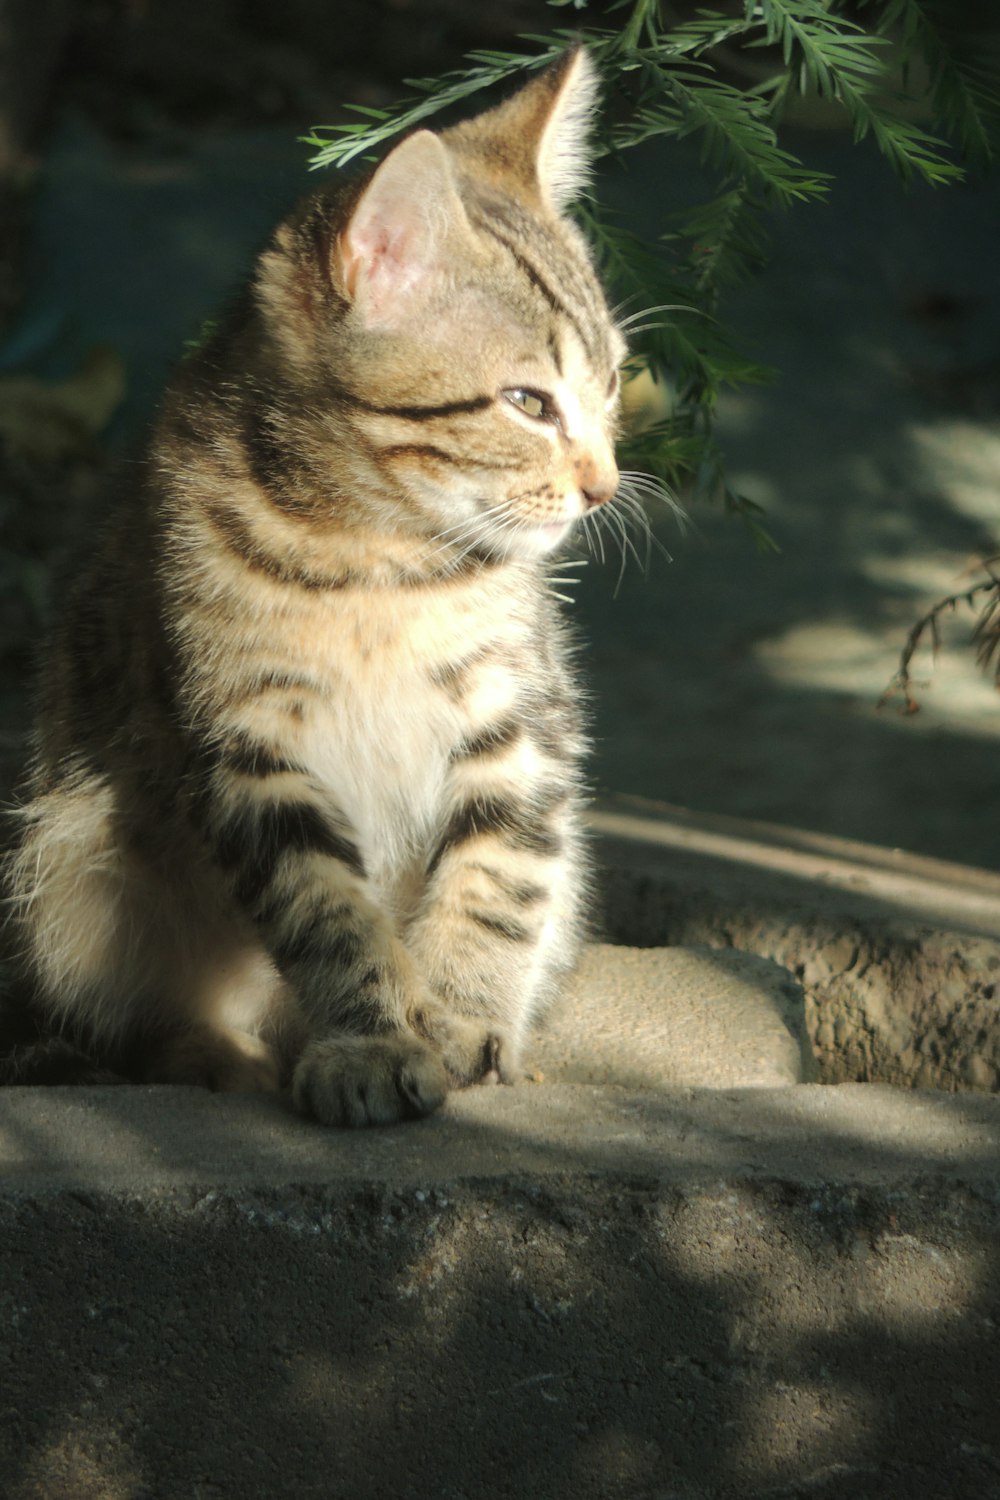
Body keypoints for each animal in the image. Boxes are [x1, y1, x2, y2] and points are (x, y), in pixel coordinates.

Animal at [1, 46, 626, 1128]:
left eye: (616, 383)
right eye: (526, 402)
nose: (606, 484)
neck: (377, 560)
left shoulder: (520, 721)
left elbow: (500, 878)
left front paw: (457, 1018)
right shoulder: (248, 745)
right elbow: (326, 910)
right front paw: (369, 1043)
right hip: (64, 857)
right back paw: (217, 1054)